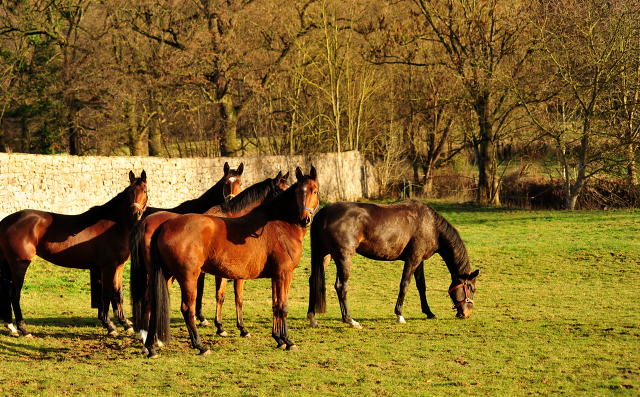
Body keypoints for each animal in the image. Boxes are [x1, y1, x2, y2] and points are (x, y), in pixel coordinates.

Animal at [0, 170, 149, 338]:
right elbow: (106, 294)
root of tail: (5, 221)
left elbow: (118, 294)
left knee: (5, 289)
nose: (135, 213)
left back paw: (11, 327)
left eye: (144, 190)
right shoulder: (108, 266)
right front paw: (109, 326)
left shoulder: (118, 266)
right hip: (19, 264)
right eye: (130, 191)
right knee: (15, 294)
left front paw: (125, 324)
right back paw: (24, 329)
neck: (114, 225)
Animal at [148, 166, 322, 358]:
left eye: (314, 191)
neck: (278, 224)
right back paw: (200, 346)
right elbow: (282, 306)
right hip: (188, 277)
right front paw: (287, 341)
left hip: (168, 276)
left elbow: (275, 304)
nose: (304, 219)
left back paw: (151, 346)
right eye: (297, 191)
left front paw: (278, 338)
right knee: (187, 309)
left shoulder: (276, 276)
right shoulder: (284, 274)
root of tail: (164, 225)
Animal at [308, 201, 478, 328]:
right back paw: (350, 320)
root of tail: (322, 214)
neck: (432, 226)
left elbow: (421, 286)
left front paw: (429, 313)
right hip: (344, 257)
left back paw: (312, 318)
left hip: (324, 256)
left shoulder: (419, 261)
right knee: (341, 286)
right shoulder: (412, 259)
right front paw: (399, 315)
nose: (467, 314)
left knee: (313, 281)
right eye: (472, 289)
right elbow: (404, 285)